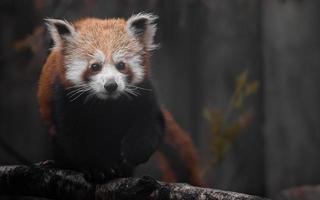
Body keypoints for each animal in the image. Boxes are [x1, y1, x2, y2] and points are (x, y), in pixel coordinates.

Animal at [37, 13, 202, 185]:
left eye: (121, 65)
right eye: (95, 66)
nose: (111, 85)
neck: (107, 104)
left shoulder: (144, 92)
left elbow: (150, 122)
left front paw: (135, 152)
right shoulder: (64, 97)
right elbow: (73, 137)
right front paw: (97, 168)